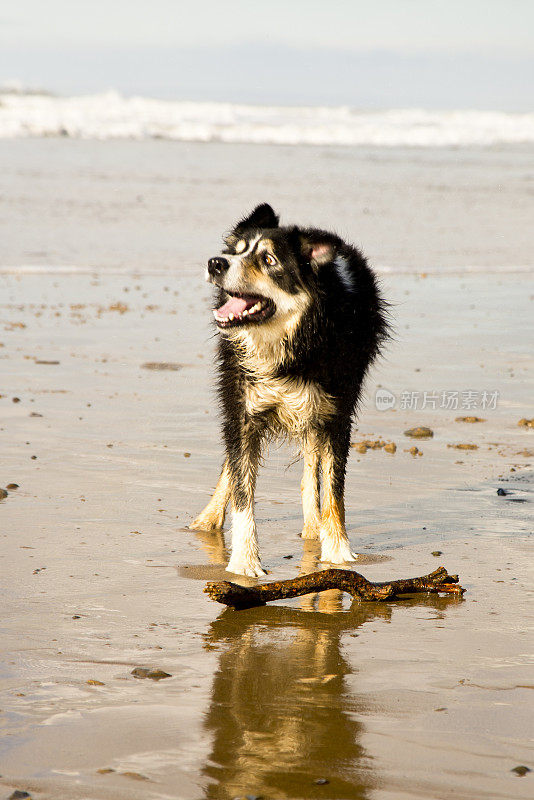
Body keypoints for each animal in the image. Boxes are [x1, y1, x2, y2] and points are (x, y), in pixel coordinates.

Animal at [193, 202, 390, 576]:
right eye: (237, 251)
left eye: (269, 260)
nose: (215, 263)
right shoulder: (244, 408)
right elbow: (242, 488)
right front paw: (245, 561)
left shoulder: (335, 412)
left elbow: (333, 489)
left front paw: (338, 551)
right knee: (232, 466)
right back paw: (206, 519)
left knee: (311, 469)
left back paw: (314, 528)